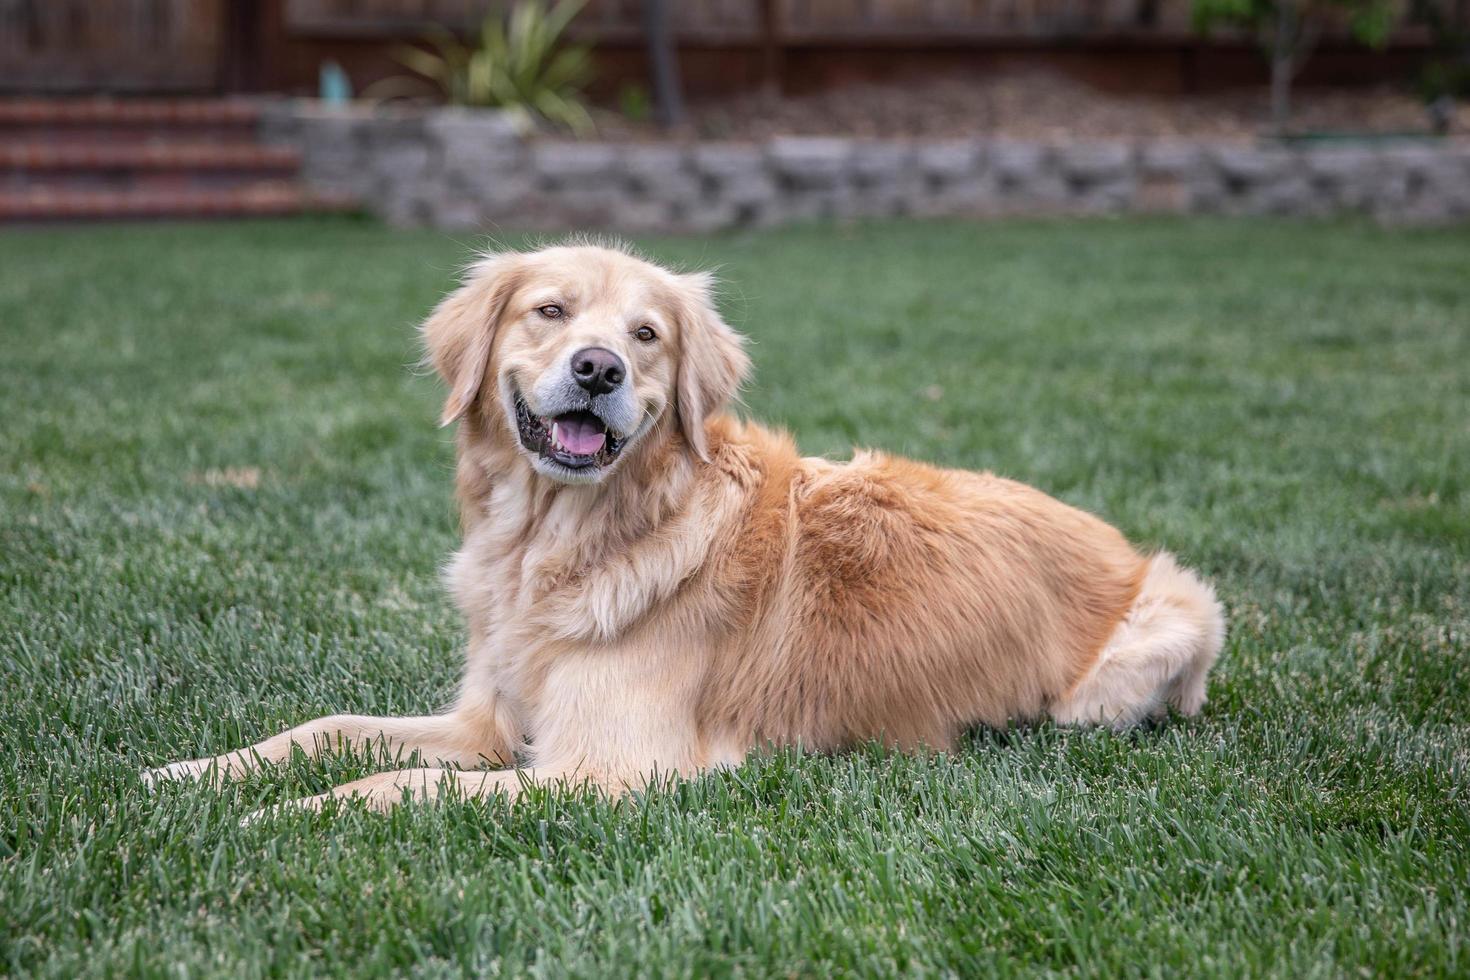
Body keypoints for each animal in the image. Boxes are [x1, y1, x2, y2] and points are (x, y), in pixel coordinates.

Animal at [149, 243, 1228, 811]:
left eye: (648, 334)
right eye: (549, 311)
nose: (597, 369)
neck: (559, 544)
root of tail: (1118, 541)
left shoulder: (603, 768)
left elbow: (386, 786)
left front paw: (279, 817)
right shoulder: (484, 721)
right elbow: (323, 729)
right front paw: (189, 773)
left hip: (1166, 628)